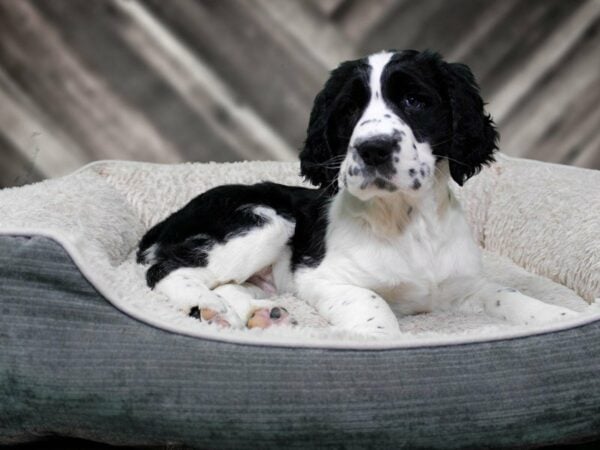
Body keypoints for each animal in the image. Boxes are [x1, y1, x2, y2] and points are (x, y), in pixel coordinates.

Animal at [136, 50, 576, 338]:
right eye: (349, 110)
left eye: (415, 100)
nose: (373, 149)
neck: (406, 222)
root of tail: (166, 221)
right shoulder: (324, 279)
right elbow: (372, 304)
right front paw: (377, 340)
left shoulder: (463, 285)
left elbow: (509, 295)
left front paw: (561, 319)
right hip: (264, 220)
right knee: (167, 270)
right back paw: (210, 309)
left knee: (226, 282)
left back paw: (261, 315)